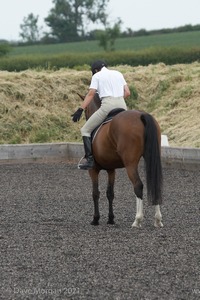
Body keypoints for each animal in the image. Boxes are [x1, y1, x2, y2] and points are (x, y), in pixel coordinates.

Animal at [77, 92, 163, 229]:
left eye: (85, 109)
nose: (85, 116)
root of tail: (141, 115)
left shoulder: (93, 170)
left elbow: (95, 193)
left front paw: (95, 219)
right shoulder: (111, 170)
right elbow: (110, 193)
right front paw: (111, 219)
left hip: (130, 164)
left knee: (138, 185)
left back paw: (137, 220)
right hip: (151, 159)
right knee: (155, 184)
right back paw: (158, 220)